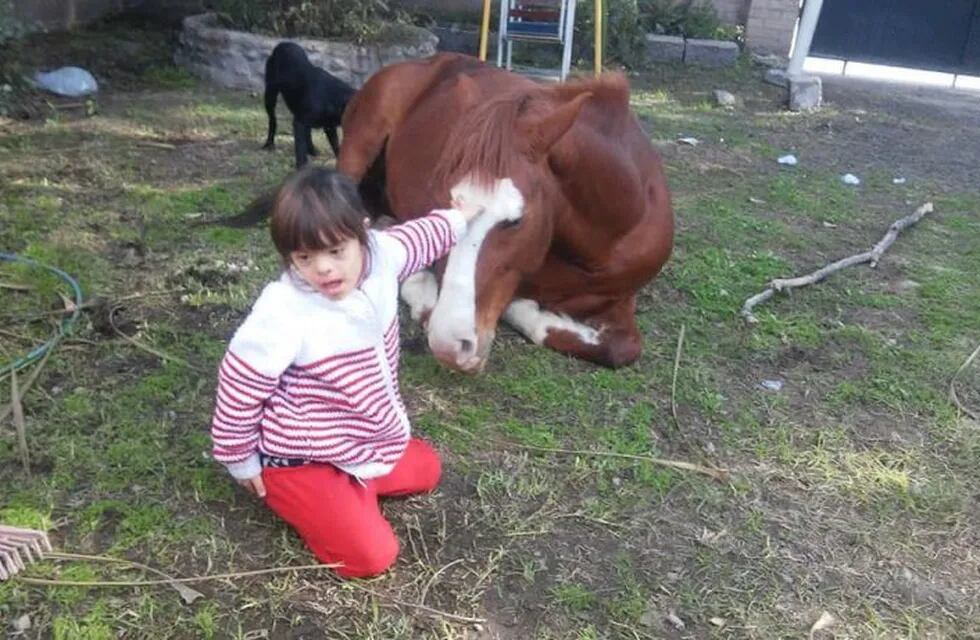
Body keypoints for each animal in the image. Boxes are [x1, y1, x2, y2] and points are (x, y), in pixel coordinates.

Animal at [262, 41, 358, 169]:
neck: (333, 98)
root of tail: (283, 43)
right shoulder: (300, 123)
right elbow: (300, 150)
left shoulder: (329, 127)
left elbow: (336, 146)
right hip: (270, 95)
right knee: (272, 120)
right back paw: (269, 143)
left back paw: (312, 149)